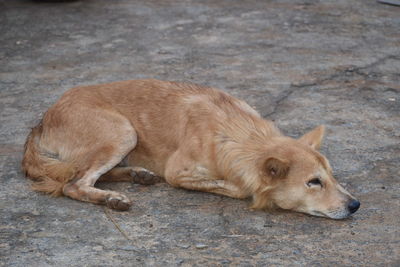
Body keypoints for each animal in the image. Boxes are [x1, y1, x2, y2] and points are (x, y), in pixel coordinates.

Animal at [21, 79, 360, 220]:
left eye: (333, 177)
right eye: (313, 182)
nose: (356, 205)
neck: (238, 133)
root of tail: (42, 119)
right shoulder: (177, 172)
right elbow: (240, 188)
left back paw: (138, 174)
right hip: (123, 132)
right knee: (74, 183)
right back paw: (111, 199)